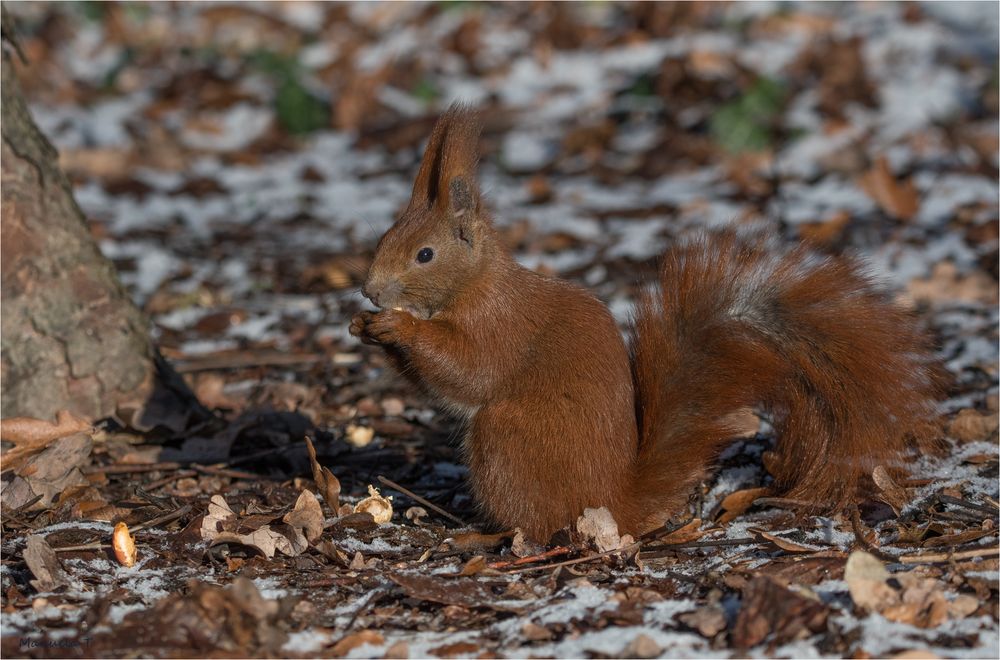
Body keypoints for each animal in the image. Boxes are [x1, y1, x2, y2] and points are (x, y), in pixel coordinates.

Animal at [350, 104, 936, 540]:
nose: (370, 290)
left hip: (506, 441)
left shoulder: (499, 325)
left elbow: (467, 370)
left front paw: (398, 328)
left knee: (540, 525)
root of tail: (613, 502)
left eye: (424, 255)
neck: (475, 283)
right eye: (384, 238)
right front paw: (364, 326)